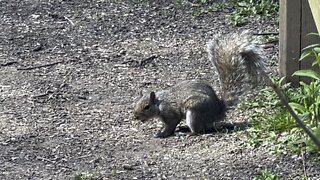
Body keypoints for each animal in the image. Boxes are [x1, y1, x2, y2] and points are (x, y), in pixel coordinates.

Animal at [132, 31, 264, 138]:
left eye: (147, 107)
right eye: (137, 104)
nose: (136, 117)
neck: (159, 104)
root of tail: (218, 111)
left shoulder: (170, 112)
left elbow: (171, 124)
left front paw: (162, 134)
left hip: (195, 111)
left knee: (199, 130)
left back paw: (188, 133)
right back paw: (185, 127)